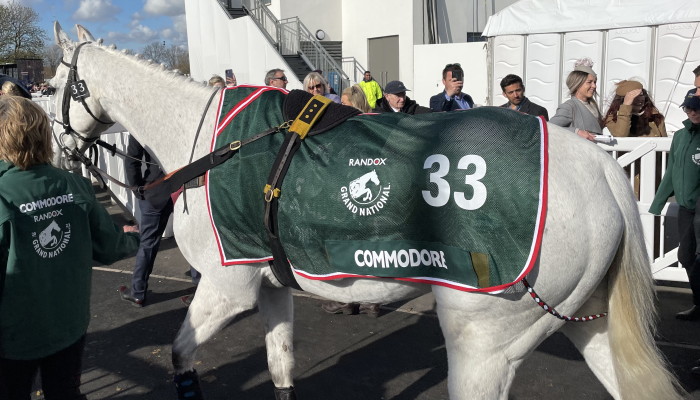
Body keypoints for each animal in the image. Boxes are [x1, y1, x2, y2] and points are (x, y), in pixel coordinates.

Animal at [50, 22, 684, 400]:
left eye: (54, 82)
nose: (59, 146)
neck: (213, 140)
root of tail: (601, 168)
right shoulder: (271, 284)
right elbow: (279, 367)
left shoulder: (227, 286)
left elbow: (180, 355)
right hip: (587, 319)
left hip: (486, 339)